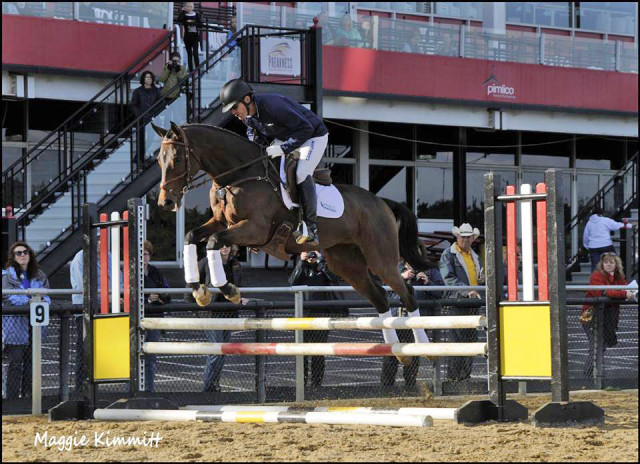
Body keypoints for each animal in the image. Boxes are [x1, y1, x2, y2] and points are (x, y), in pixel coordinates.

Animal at [152, 121, 438, 364]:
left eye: (177, 159)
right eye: (158, 160)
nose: (166, 202)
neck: (240, 175)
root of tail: (382, 203)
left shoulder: (254, 230)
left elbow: (212, 242)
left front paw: (229, 290)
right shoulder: (222, 223)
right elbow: (192, 236)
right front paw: (198, 290)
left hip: (380, 258)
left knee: (407, 292)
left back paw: (425, 348)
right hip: (346, 263)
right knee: (380, 297)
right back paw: (398, 352)